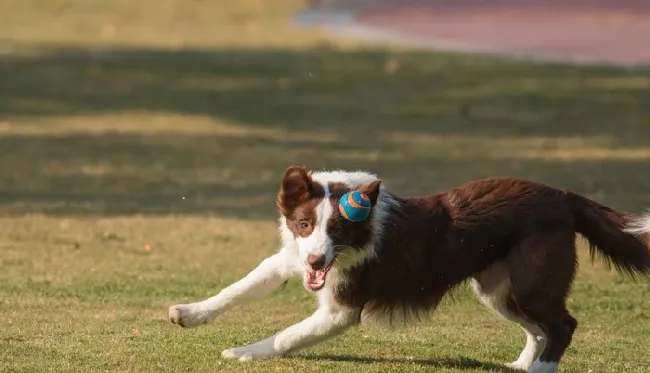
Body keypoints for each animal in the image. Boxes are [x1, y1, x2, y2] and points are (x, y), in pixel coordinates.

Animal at [168, 166, 648, 372]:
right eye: (304, 224)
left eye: (338, 229)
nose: (317, 262)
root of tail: (564, 196)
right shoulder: (289, 258)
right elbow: (238, 287)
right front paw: (188, 313)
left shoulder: (341, 310)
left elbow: (287, 335)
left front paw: (243, 352)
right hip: (497, 288)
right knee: (538, 329)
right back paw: (520, 366)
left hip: (531, 280)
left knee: (562, 325)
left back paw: (539, 369)